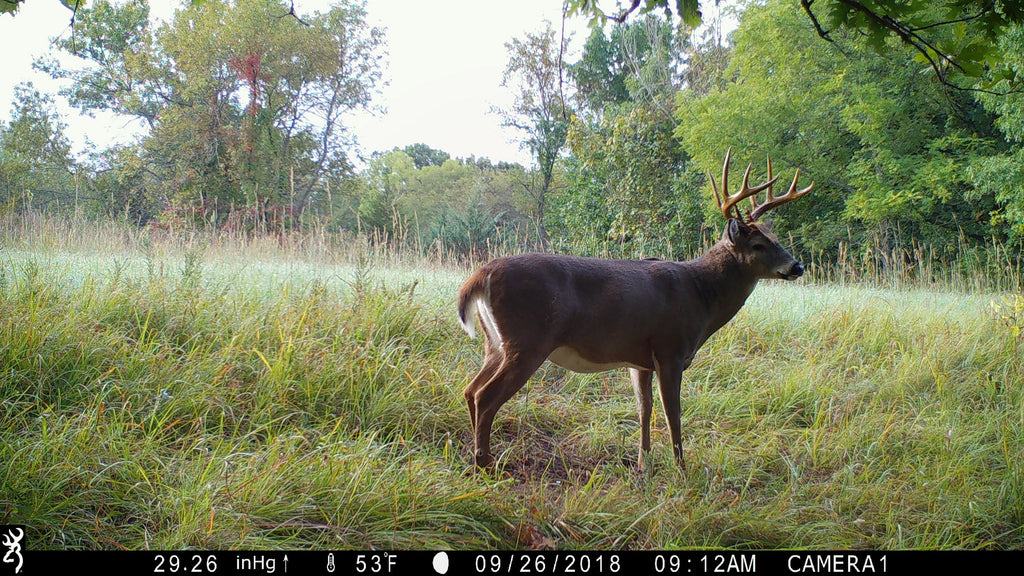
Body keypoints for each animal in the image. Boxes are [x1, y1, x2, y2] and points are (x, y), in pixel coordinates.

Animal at [456, 149, 813, 470]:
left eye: (777, 238)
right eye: (758, 245)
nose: (797, 266)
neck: (702, 294)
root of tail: (481, 274)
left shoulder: (639, 359)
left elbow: (645, 408)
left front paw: (643, 463)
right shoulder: (671, 349)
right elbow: (673, 412)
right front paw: (681, 468)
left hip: (496, 342)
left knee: (470, 390)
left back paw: (479, 457)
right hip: (528, 341)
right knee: (485, 397)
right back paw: (486, 464)